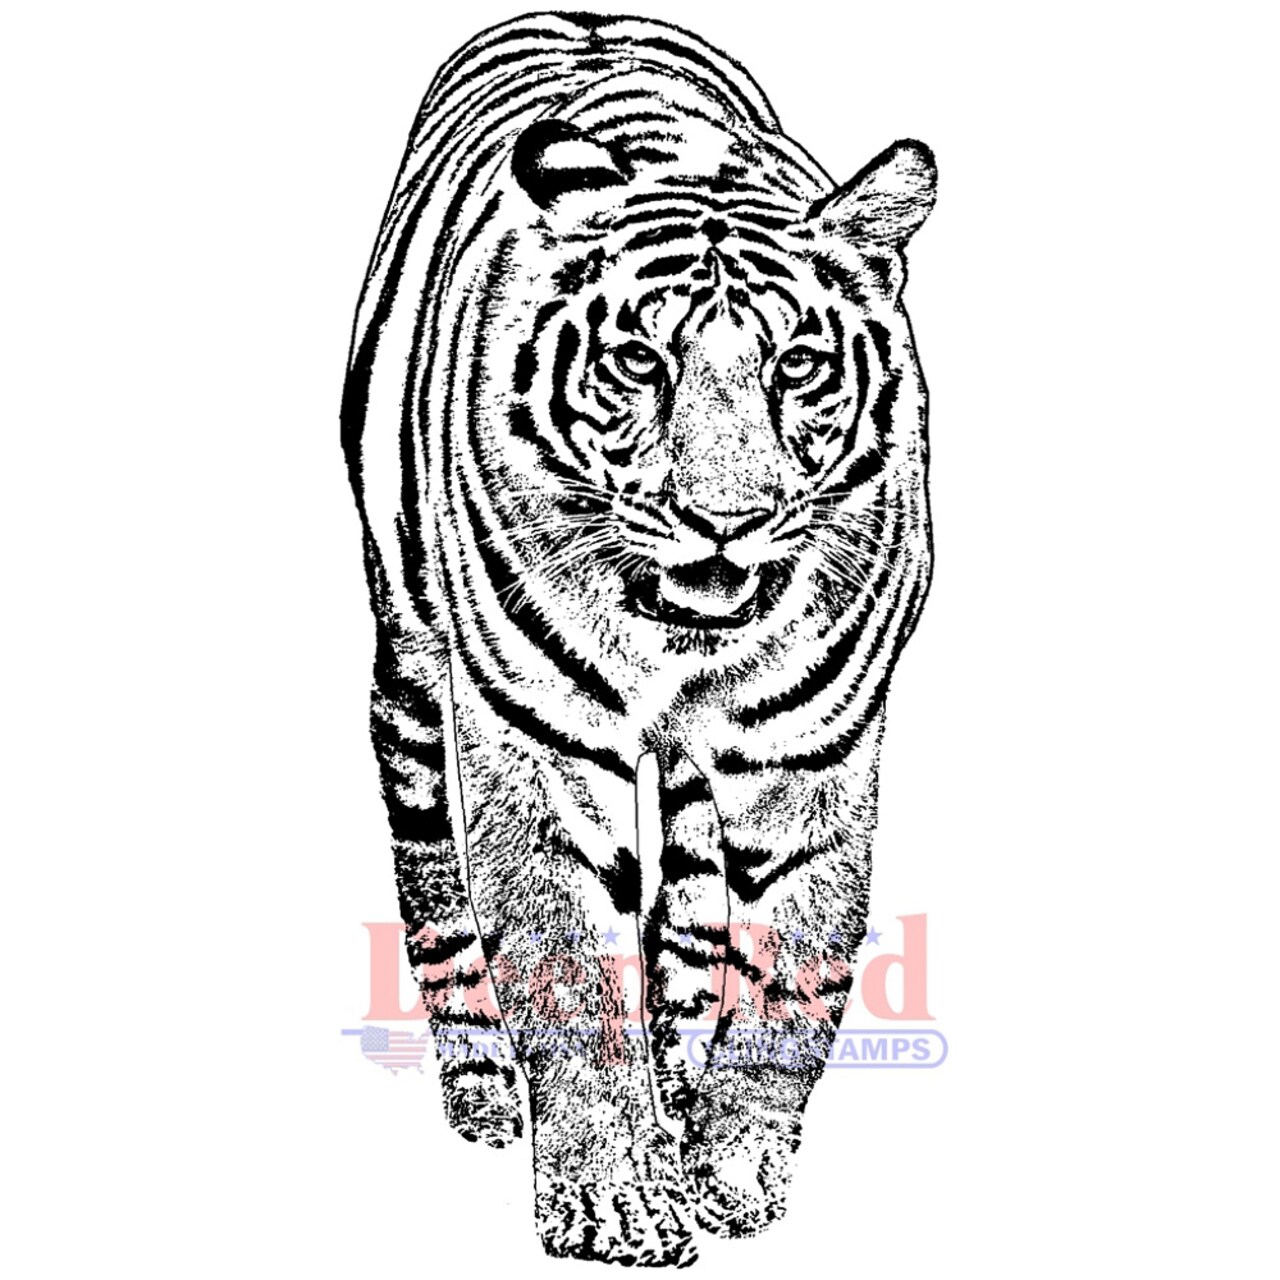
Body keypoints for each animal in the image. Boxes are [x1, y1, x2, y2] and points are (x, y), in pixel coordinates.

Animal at [341, 10, 937, 1268]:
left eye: (796, 364)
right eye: (638, 363)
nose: (725, 516)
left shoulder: (810, 753)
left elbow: (787, 977)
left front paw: (730, 1168)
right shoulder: (539, 745)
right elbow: (568, 969)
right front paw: (611, 1196)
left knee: (698, 900)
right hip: (407, 658)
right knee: (428, 859)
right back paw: (483, 1085)